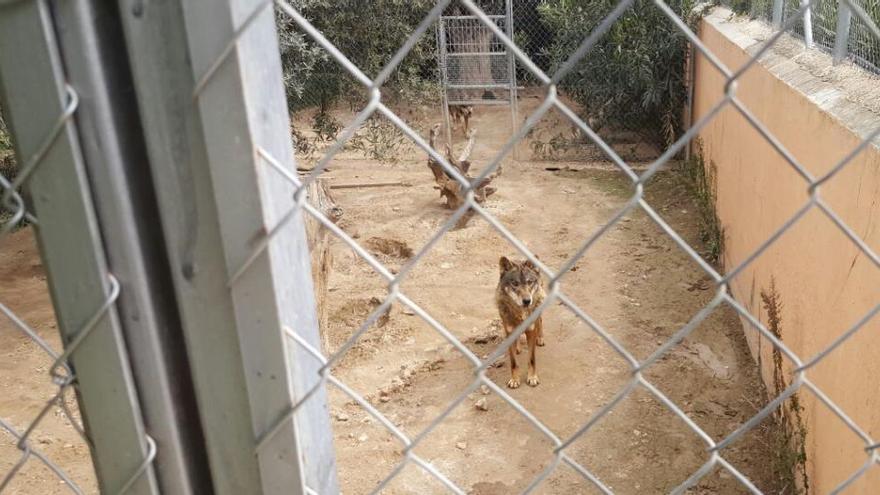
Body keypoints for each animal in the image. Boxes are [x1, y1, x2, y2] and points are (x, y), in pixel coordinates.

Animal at [496, 258, 544, 390]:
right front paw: (514, 380)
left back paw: (541, 339)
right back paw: (518, 347)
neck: (520, 314)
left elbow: (531, 359)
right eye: (515, 283)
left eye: (529, 282)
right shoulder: (509, 332)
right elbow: (513, 362)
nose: (527, 301)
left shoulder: (531, 331)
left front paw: (532, 378)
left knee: (540, 321)